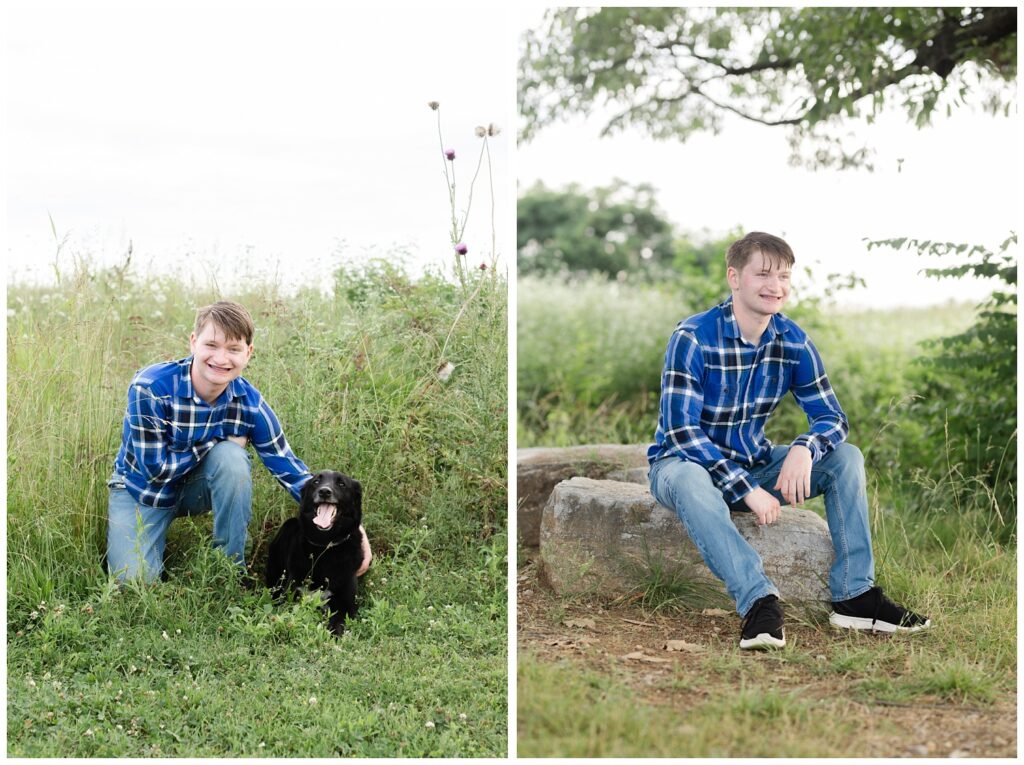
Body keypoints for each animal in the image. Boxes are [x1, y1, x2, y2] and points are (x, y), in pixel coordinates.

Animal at [266, 469, 366, 639]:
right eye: (316, 482)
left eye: (341, 484)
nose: (324, 491)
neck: (324, 547)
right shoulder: (292, 595)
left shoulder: (347, 606)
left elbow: (338, 624)